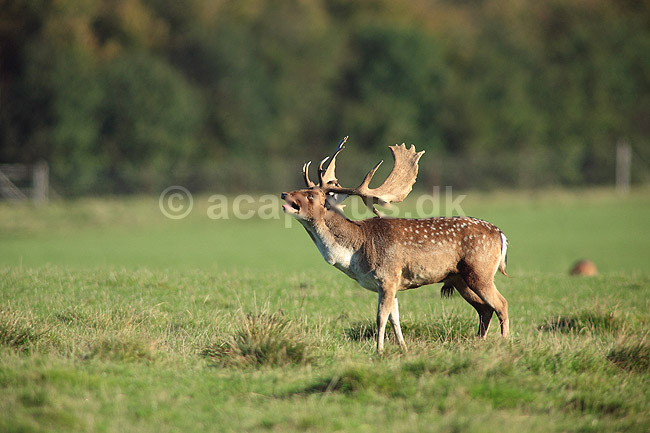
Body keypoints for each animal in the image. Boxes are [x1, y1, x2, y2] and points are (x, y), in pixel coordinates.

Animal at [281, 137, 510, 353]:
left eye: (311, 195)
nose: (284, 194)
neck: (355, 252)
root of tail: (501, 234)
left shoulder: (388, 277)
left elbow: (381, 317)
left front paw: (379, 350)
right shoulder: (391, 284)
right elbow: (395, 318)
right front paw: (403, 347)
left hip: (480, 271)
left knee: (501, 304)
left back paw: (505, 342)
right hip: (460, 278)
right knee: (484, 309)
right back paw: (480, 342)